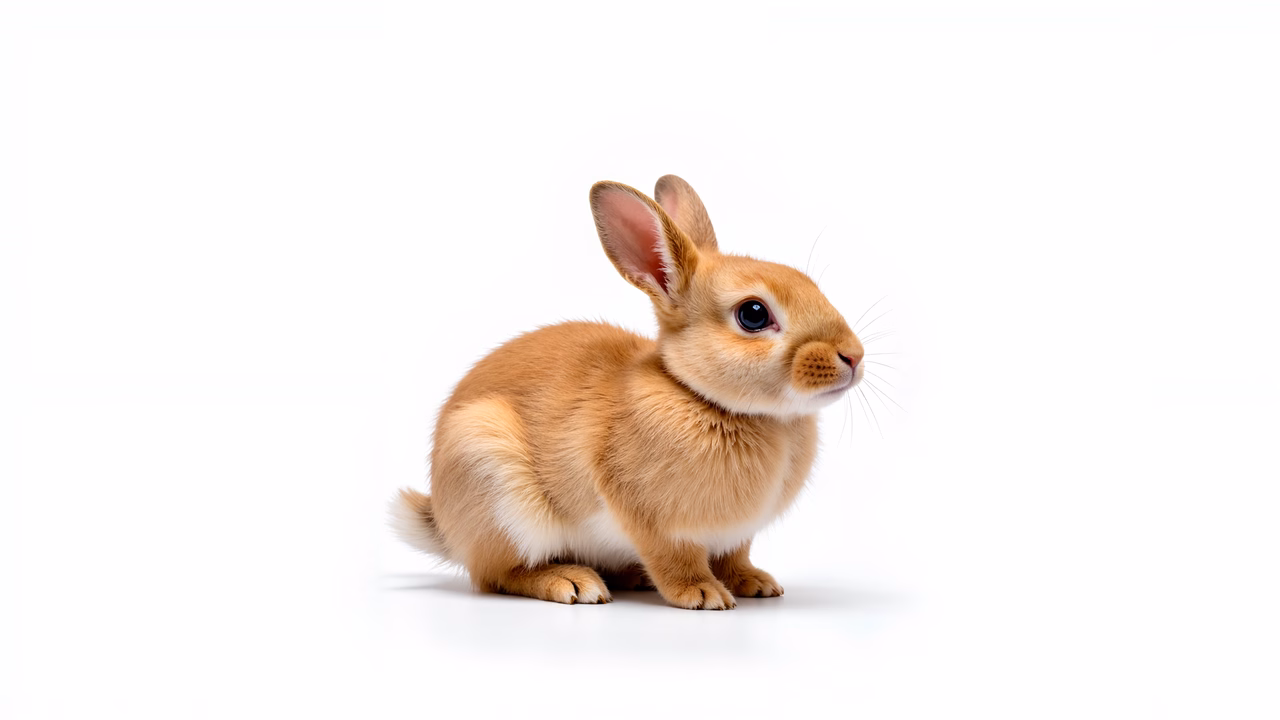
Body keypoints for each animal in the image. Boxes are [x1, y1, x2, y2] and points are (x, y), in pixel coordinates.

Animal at [390, 175, 864, 609]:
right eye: (753, 314)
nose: (854, 356)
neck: (699, 395)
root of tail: (446, 527)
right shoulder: (651, 520)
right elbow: (674, 559)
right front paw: (703, 593)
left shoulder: (736, 536)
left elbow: (735, 556)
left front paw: (754, 583)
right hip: (493, 481)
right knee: (498, 574)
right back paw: (572, 582)